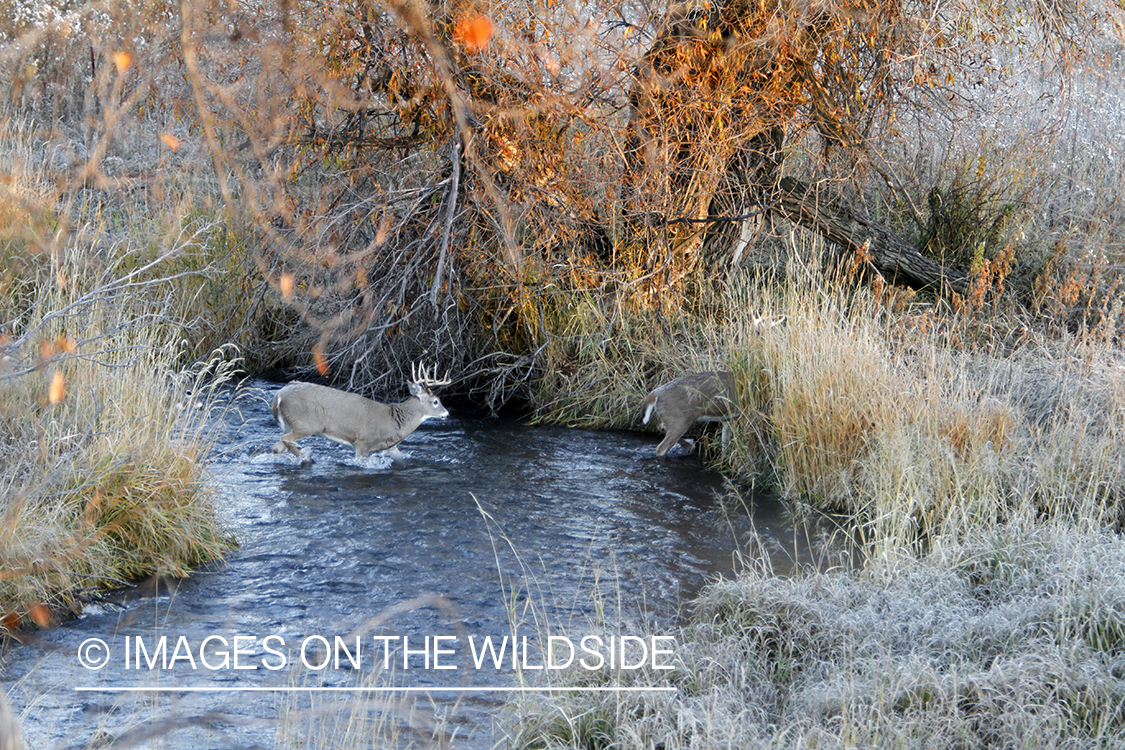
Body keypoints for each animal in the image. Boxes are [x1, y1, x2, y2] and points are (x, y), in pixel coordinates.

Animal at [270, 364, 450, 463]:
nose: (447, 414)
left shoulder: (390, 447)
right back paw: (308, 458)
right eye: (436, 401)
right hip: (306, 424)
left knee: (276, 447)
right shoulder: (364, 441)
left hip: (291, 424)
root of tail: (278, 396)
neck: (394, 421)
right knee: (286, 439)